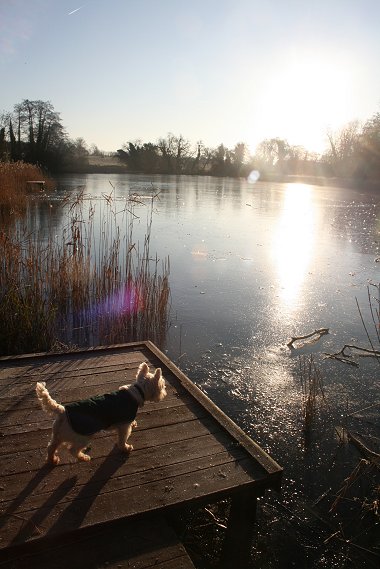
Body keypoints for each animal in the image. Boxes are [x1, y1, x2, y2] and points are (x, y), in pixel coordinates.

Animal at [36, 362, 166, 464]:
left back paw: (52, 460)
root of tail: (62, 410)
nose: (165, 393)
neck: (138, 392)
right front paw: (126, 448)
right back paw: (84, 457)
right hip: (83, 436)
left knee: (51, 447)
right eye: (163, 385)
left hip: (58, 434)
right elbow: (122, 439)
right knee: (72, 450)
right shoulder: (124, 426)